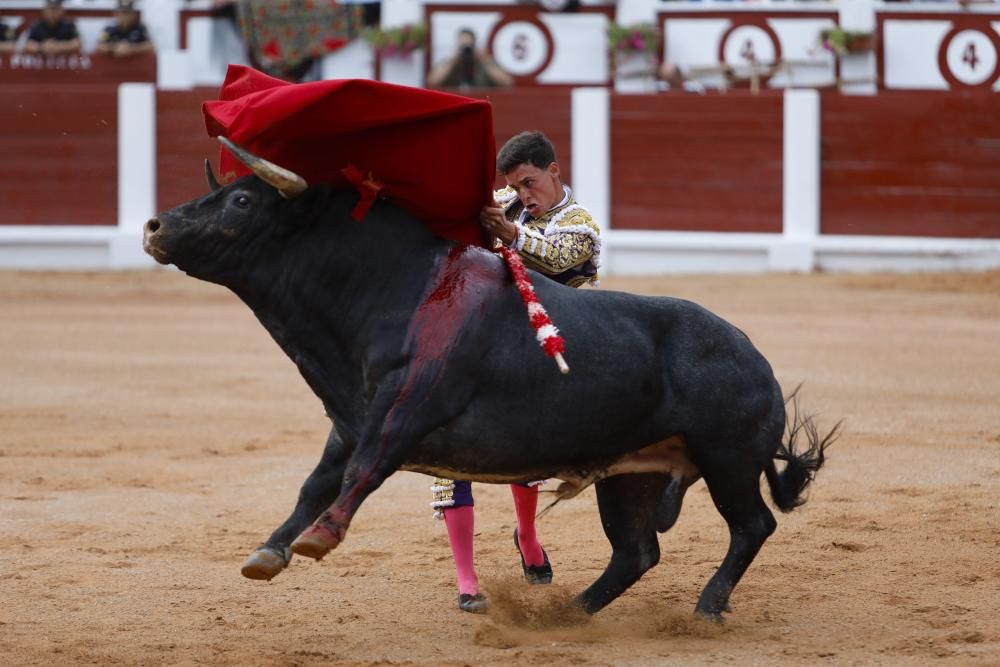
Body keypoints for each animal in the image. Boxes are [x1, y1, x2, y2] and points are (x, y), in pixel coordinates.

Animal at [143, 164, 836, 624]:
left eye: (239, 199)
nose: (155, 225)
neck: (391, 288)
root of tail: (756, 358)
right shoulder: (350, 416)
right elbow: (318, 481)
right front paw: (270, 551)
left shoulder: (408, 407)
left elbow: (365, 468)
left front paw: (319, 538)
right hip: (631, 474)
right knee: (637, 551)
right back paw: (567, 614)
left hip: (727, 460)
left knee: (751, 525)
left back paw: (706, 608)